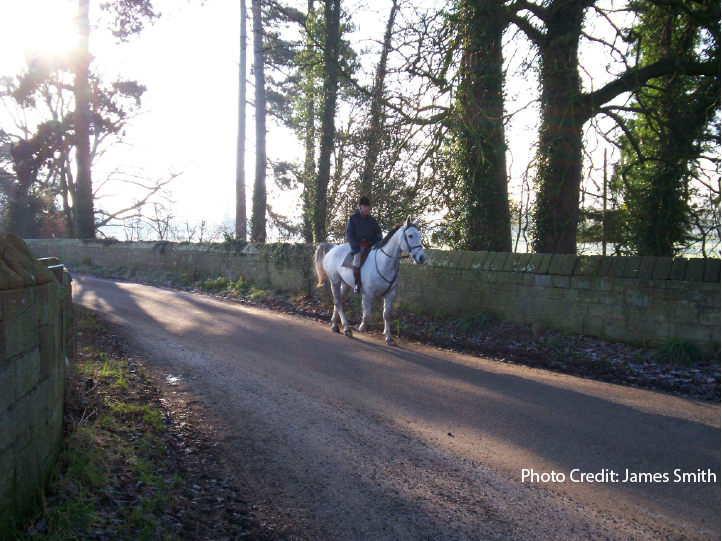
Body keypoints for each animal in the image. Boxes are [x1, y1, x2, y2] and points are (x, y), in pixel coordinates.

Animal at [312, 214, 424, 342]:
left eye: (419, 235)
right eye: (410, 235)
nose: (422, 258)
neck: (383, 262)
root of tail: (334, 247)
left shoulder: (390, 293)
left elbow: (386, 314)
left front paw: (388, 337)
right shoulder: (367, 294)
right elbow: (367, 316)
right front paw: (359, 328)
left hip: (345, 285)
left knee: (338, 301)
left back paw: (335, 325)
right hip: (334, 281)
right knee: (338, 302)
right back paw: (346, 328)